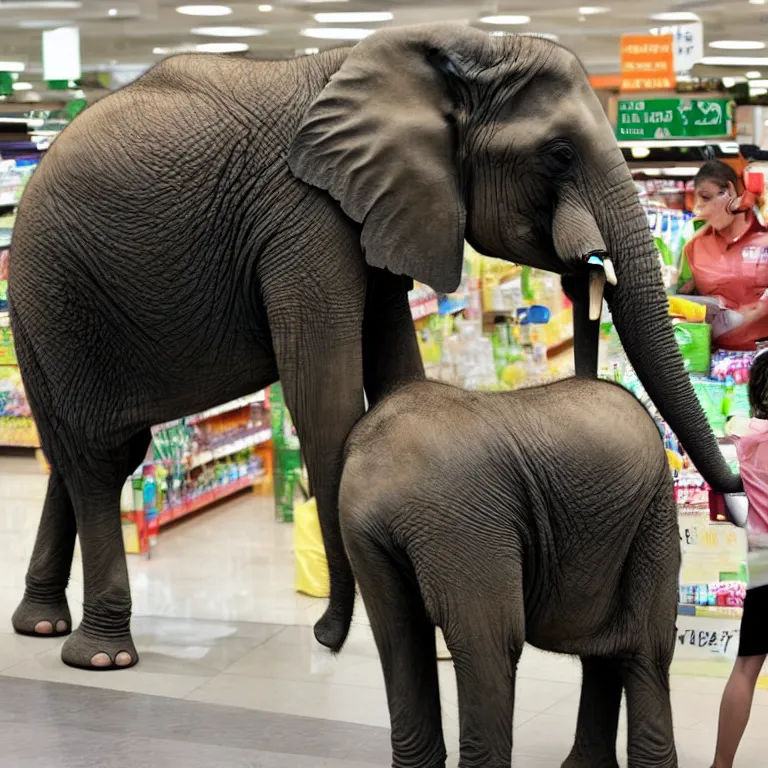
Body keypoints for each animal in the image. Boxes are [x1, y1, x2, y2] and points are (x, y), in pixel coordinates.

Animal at [7, 25, 736, 672]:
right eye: (557, 154)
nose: (730, 500)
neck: (452, 52)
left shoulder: (388, 206)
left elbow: (396, 363)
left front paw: (429, 643)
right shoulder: (304, 216)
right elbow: (323, 394)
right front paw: (337, 633)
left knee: (80, 452)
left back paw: (39, 625)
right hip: (55, 296)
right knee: (98, 457)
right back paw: (103, 655)